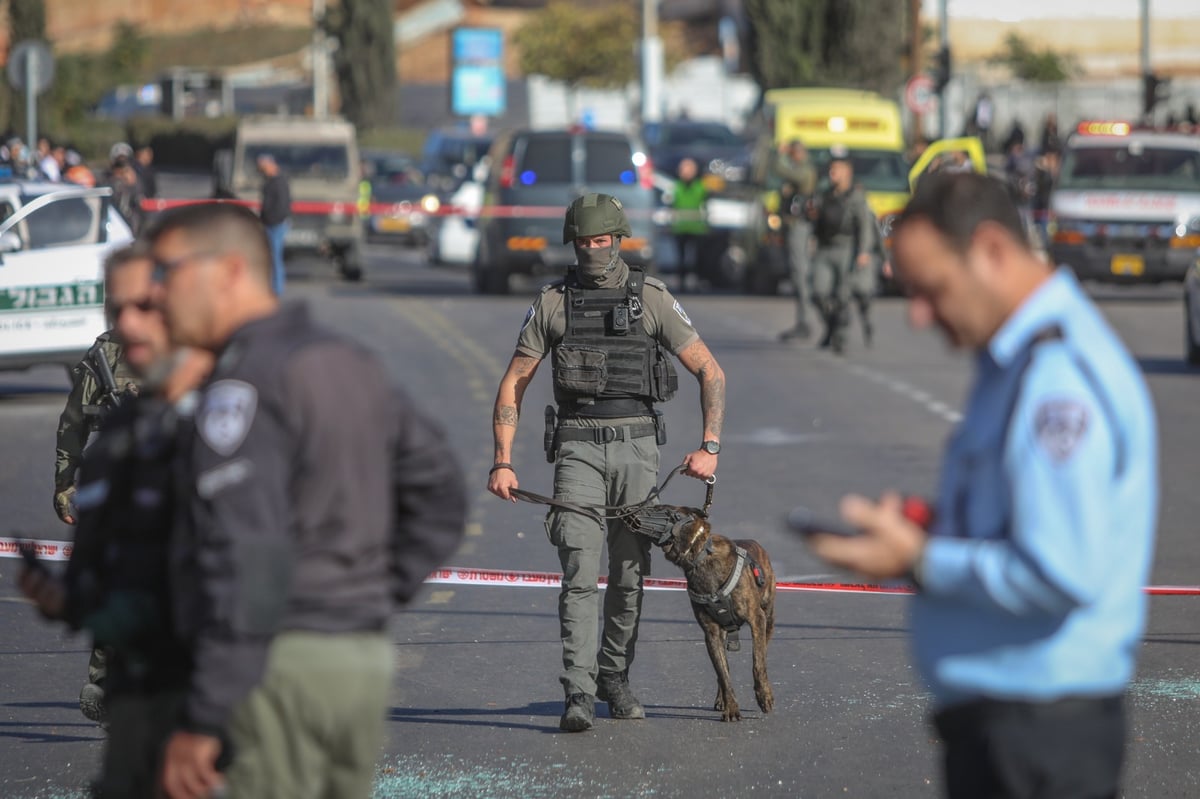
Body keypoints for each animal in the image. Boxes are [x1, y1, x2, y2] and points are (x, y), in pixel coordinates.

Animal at [652, 503, 772, 719]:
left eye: (664, 509)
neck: (699, 556)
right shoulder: (712, 633)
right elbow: (723, 673)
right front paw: (731, 707)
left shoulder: (757, 619)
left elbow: (758, 663)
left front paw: (764, 696)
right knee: (723, 669)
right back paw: (721, 700)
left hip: (768, 619)